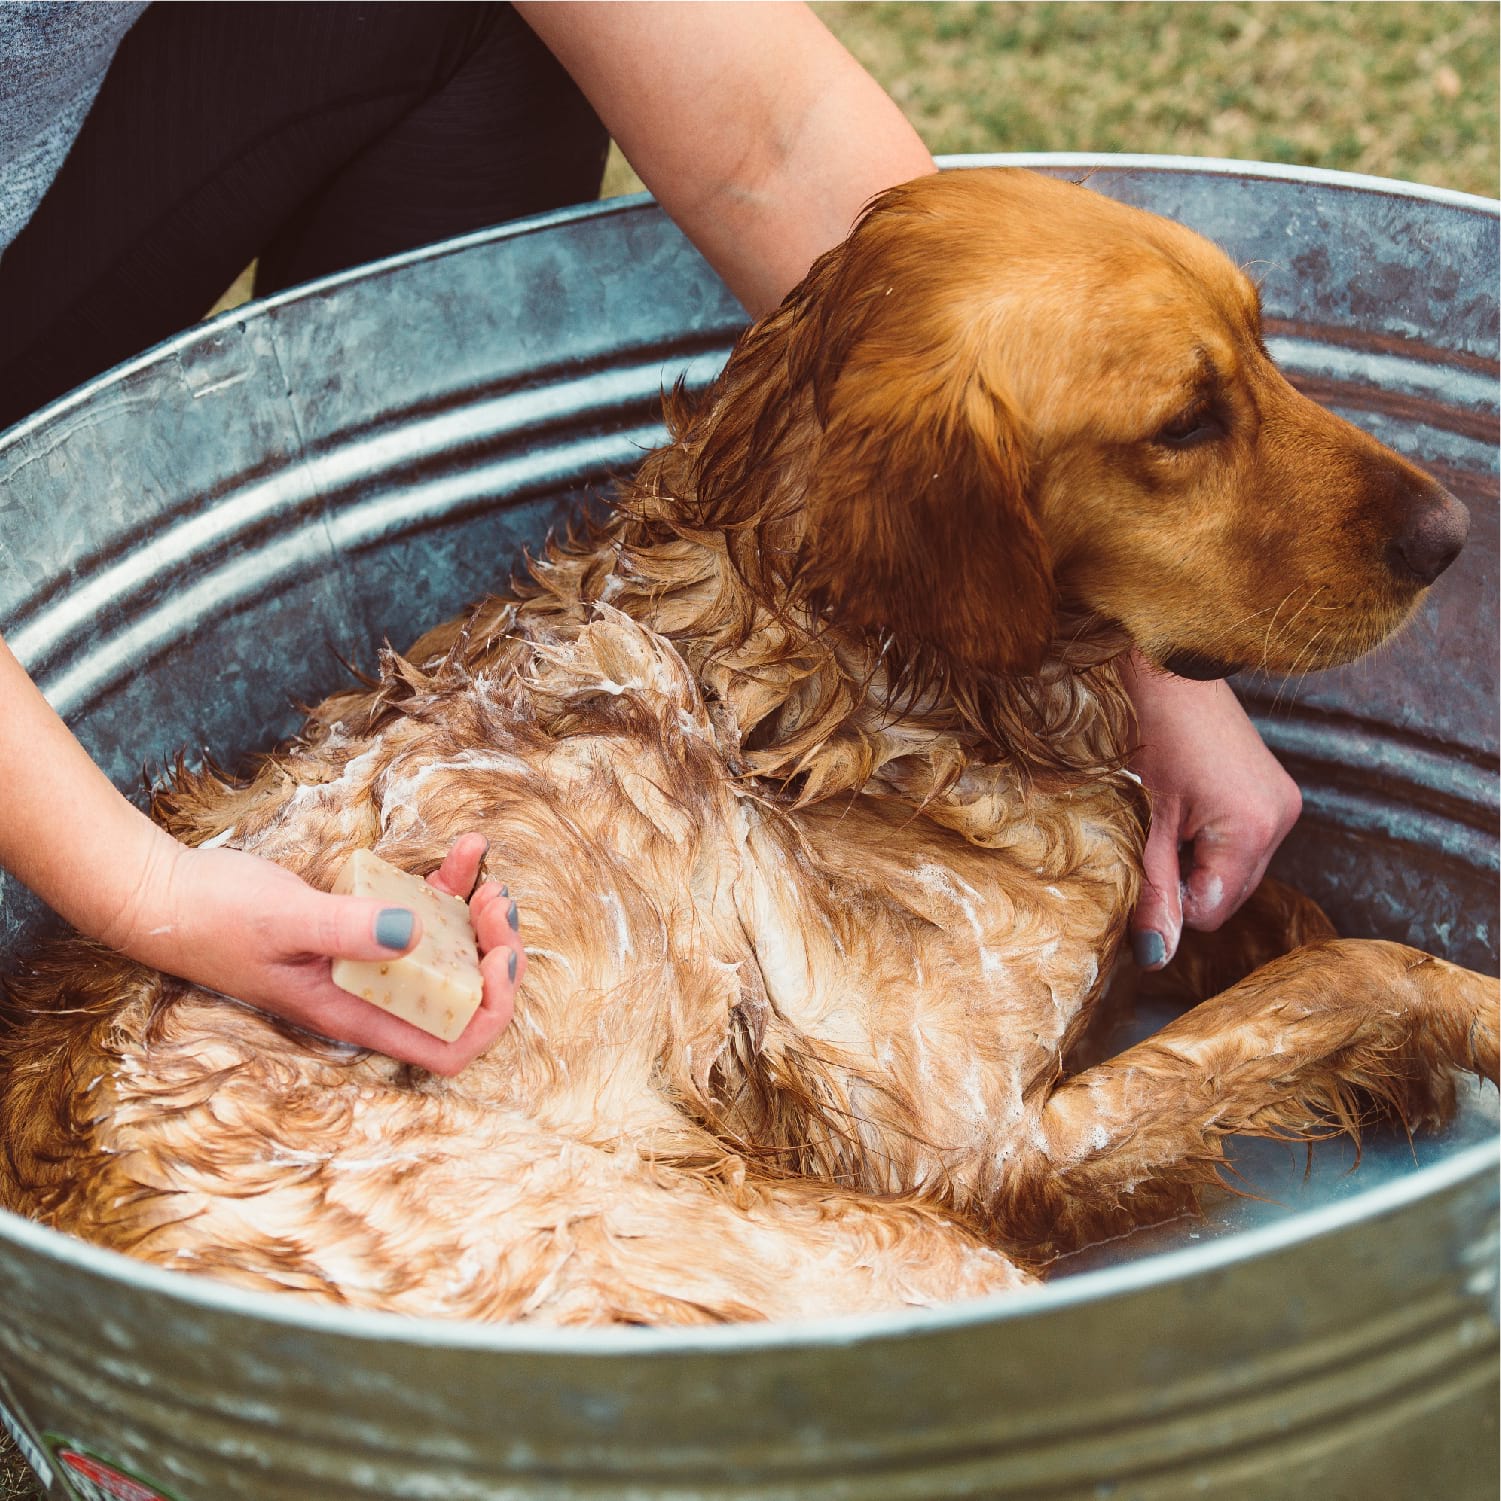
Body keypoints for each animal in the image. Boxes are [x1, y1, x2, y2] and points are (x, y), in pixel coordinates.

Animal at [0, 170, 1488, 1320]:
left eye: (1265, 344)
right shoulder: (980, 1148)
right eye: (1183, 424)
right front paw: (1463, 1015)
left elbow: (1288, 922)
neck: (851, 671)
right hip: (912, 1262)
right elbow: (1347, 975)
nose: (1449, 535)